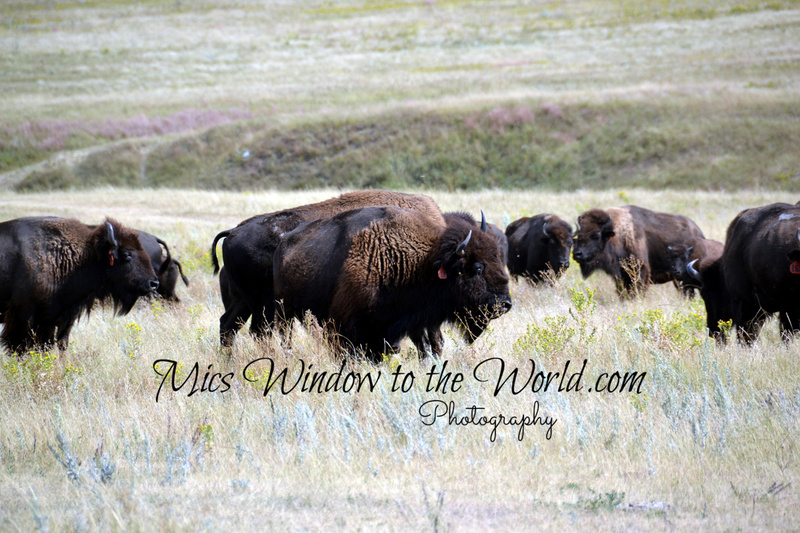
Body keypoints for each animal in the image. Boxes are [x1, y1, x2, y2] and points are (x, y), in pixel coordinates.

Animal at [0, 217, 159, 353]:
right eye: (127, 254)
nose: (154, 283)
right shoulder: (24, 315)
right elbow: (20, 347)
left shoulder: (60, 317)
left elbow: (58, 344)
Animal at [273, 207, 512, 361]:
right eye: (478, 267)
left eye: (498, 258)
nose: (505, 304)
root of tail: (283, 243)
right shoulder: (347, 324)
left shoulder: (411, 320)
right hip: (285, 313)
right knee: (286, 337)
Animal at [572, 205, 705, 297]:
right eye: (578, 235)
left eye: (596, 235)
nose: (577, 254)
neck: (617, 234)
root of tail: (698, 232)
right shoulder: (620, 277)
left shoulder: (641, 272)